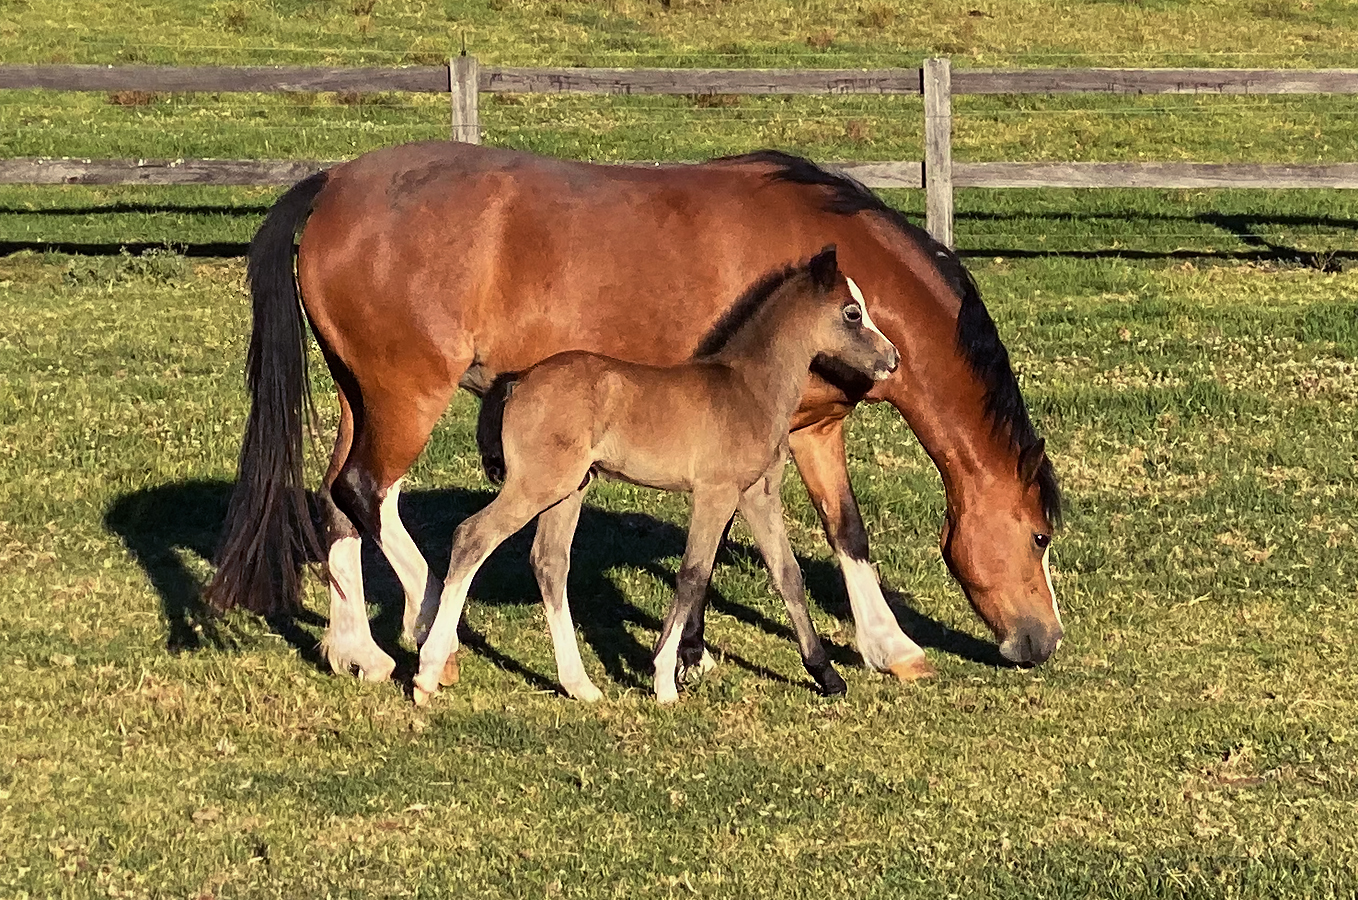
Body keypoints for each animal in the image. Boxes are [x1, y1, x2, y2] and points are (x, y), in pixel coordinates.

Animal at [411, 246, 899, 705]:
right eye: (852, 312)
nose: (892, 359)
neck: (749, 388)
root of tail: (520, 382)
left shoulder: (758, 493)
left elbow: (788, 574)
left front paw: (827, 675)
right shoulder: (716, 493)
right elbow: (693, 574)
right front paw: (665, 678)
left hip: (570, 488)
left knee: (549, 561)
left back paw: (580, 685)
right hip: (537, 484)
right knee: (473, 536)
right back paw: (427, 673)